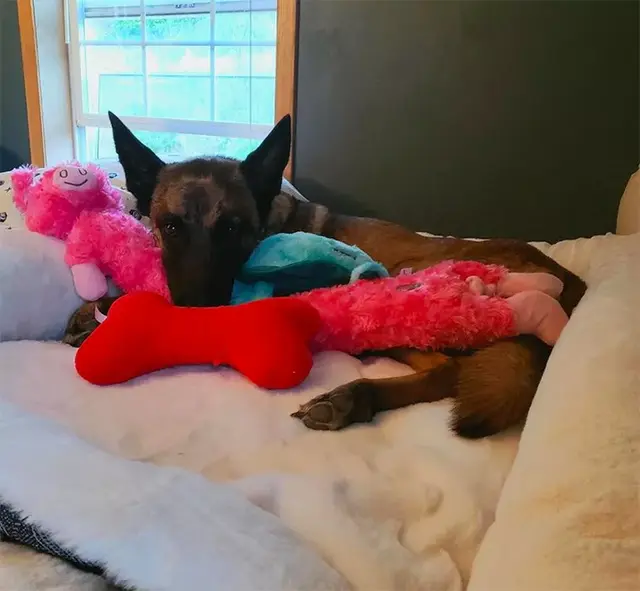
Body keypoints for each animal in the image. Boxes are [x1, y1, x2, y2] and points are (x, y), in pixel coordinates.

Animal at [63, 112, 586, 439]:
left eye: (231, 228)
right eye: (171, 227)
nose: (196, 312)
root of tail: (569, 284)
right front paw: (96, 309)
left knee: (446, 370)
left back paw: (354, 399)